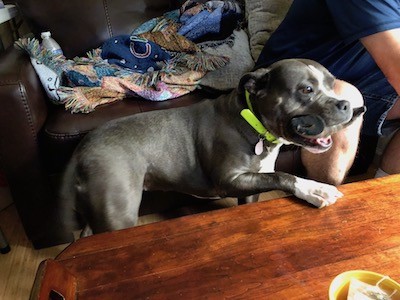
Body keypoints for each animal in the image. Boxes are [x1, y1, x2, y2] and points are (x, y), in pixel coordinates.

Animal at [60, 59, 366, 237]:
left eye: (331, 84)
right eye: (306, 90)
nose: (347, 105)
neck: (253, 120)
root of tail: (81, 149)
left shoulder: (250, 185)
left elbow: (270, 179)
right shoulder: (229, 180)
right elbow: (284, 175)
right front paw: (315, 189)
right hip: (118, 212)